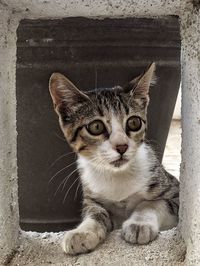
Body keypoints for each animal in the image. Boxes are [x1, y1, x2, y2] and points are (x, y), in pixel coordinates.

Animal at [48, 62, 180, 256]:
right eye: (96, 126)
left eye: (134, 122)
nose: (122, 146)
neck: (117, 175)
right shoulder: (92, 198)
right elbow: (95, 213)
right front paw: (82, 232)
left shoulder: (175, 193)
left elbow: (152, 204)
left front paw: (139, 224)